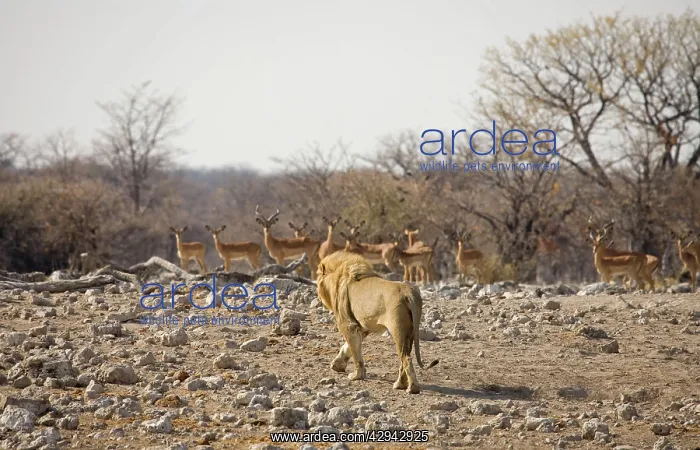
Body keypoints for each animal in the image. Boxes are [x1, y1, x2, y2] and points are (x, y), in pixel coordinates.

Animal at [315, 250, 439, 394]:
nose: (318, 295)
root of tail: (408, 292)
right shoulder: (363, 326)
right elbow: (348, 347)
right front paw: (337, 365)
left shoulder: (348, 325)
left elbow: (355, 352)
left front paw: (356, 376)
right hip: (411, 332)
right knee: (404, 358)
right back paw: (400, 384)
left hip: (398, 330)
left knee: (406, 358)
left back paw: (412, 388)